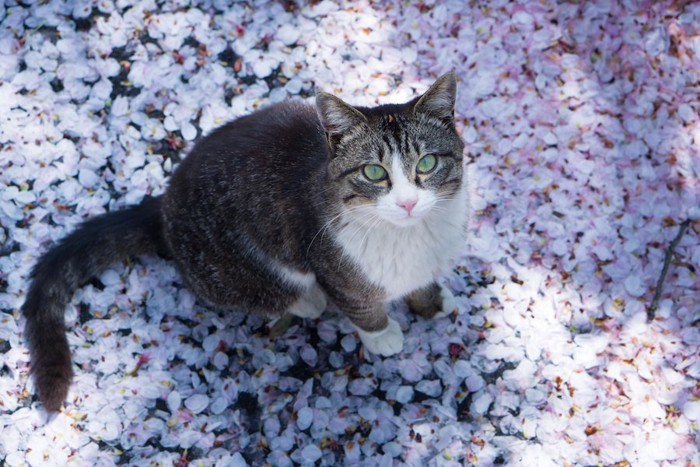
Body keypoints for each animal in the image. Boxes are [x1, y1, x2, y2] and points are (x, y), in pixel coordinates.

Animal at [21, 73, 468, 414]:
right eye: (374, 172)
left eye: (427, 163)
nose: (408, 202)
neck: (411, 235)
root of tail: (163, 205)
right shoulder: (332, 262)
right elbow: (360, 306)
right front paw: (383, 334)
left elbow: (422, 282)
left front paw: (431, 300)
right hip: (234, 270)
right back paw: (307, 301)